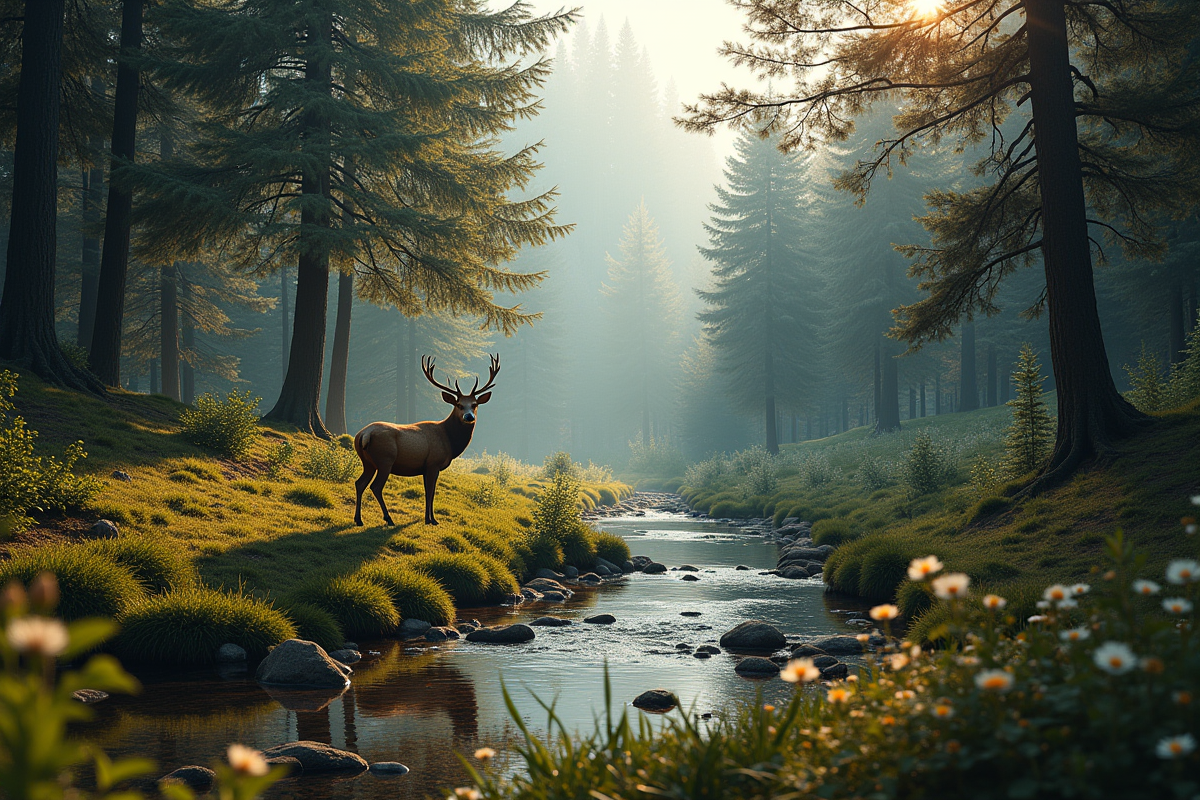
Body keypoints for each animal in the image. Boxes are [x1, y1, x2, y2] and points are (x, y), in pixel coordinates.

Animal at [350, 352, 499, 527]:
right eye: (459, 405)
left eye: (475, 404)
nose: (469, 417)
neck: (449, 440)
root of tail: (364, 435)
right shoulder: (434, 463)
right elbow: (431, 492)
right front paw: (432, 520)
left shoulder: (425, 467)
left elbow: (428, 492)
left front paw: (427, 518)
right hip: (385, 459)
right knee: (376, 486)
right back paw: (388, 518)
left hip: (368, 462)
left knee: (359, 483)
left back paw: (358, 519)